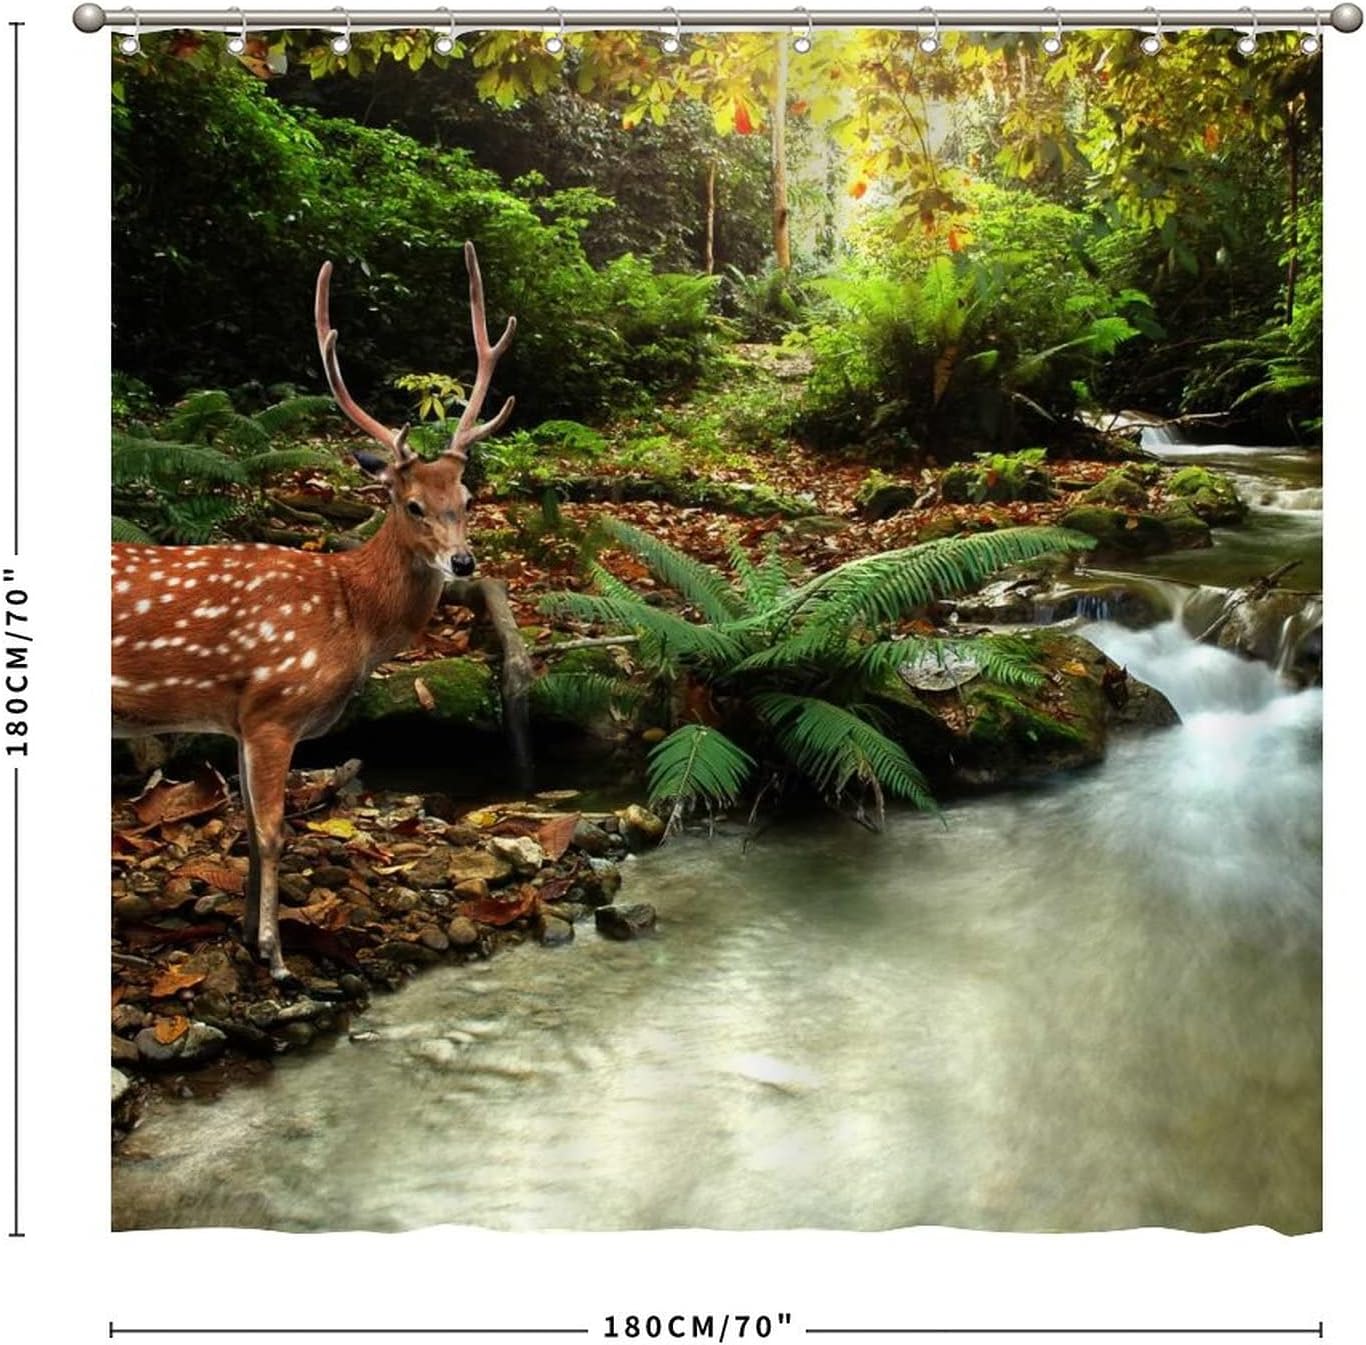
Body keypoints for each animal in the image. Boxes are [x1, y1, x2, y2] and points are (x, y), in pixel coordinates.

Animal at [112, 242, 516, 981]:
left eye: (468, 497)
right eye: (411, 503)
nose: (463, 563)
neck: (349, 613)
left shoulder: (239, 719)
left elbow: (249, 826)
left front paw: (249, 934)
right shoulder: (274, 705)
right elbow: (274, 831)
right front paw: (275, 956)